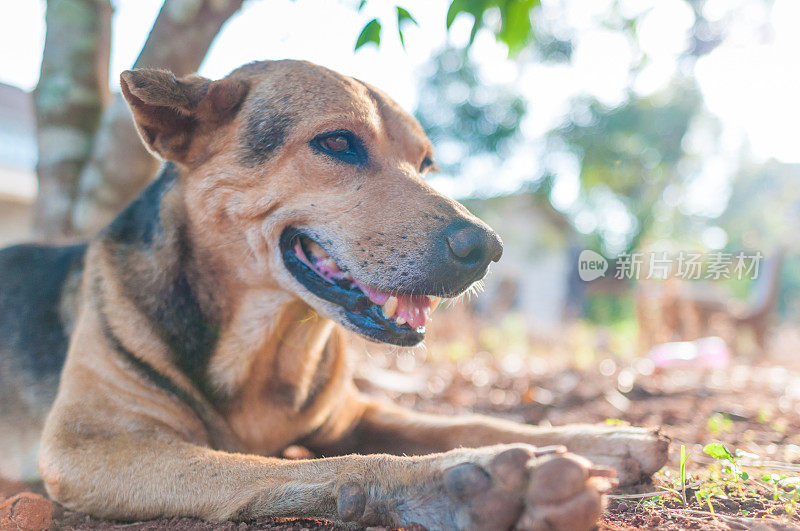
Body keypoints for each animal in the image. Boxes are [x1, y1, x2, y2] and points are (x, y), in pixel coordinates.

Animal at [0, 60, 664, 528]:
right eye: (338, 143)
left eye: (425, 164)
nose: (486, 248)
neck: (263, 346)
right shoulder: (91, 447)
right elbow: (292, 470)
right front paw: (455, 484)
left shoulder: (354, 414)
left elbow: (470, 421)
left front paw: (607, 439)